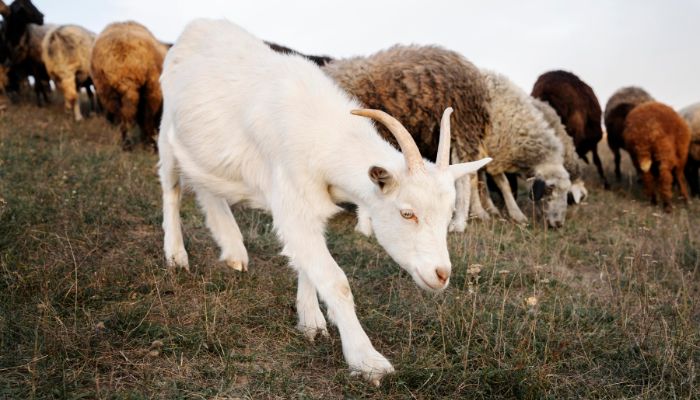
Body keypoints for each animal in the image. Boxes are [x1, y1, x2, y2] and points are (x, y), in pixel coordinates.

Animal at [90, 21, 168, 150]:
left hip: (107, 91)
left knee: (122, 116)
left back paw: (127, 143)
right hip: (152, 87)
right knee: (146, 117)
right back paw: (147, 143)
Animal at [477, 70, 571, 227]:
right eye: (549, 189)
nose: (558, 224)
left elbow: (482, 181)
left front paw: (490, 207)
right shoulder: (494, 154)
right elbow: (504, 184)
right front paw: (516, 214)